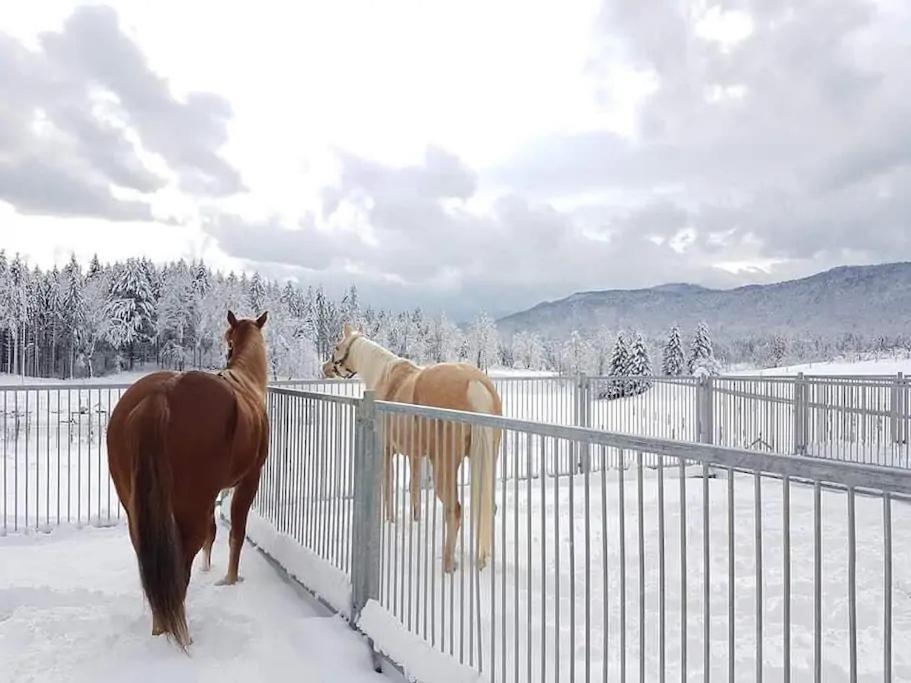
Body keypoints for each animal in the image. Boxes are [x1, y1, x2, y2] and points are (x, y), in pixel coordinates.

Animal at [107, 312, 268, 648]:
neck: (246, 386)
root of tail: (160, 395)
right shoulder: (249, 480)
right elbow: (236, 532)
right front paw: (230, 580)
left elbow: (214, 531)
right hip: (190, 508)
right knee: (180, 566)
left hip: (137, 511)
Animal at [324, 326, 502, 572]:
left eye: (337, 347)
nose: (325, 368)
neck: (384, 377)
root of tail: (475, 384)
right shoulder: (416, 456)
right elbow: (414, 488)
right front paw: (415, 520)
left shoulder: (386, 452)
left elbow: (388, 487)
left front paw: (389, 521)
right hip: (487, 460)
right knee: (489, 506)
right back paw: (483, 559)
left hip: (445, 465)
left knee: (454, 511)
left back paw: (449, 564)